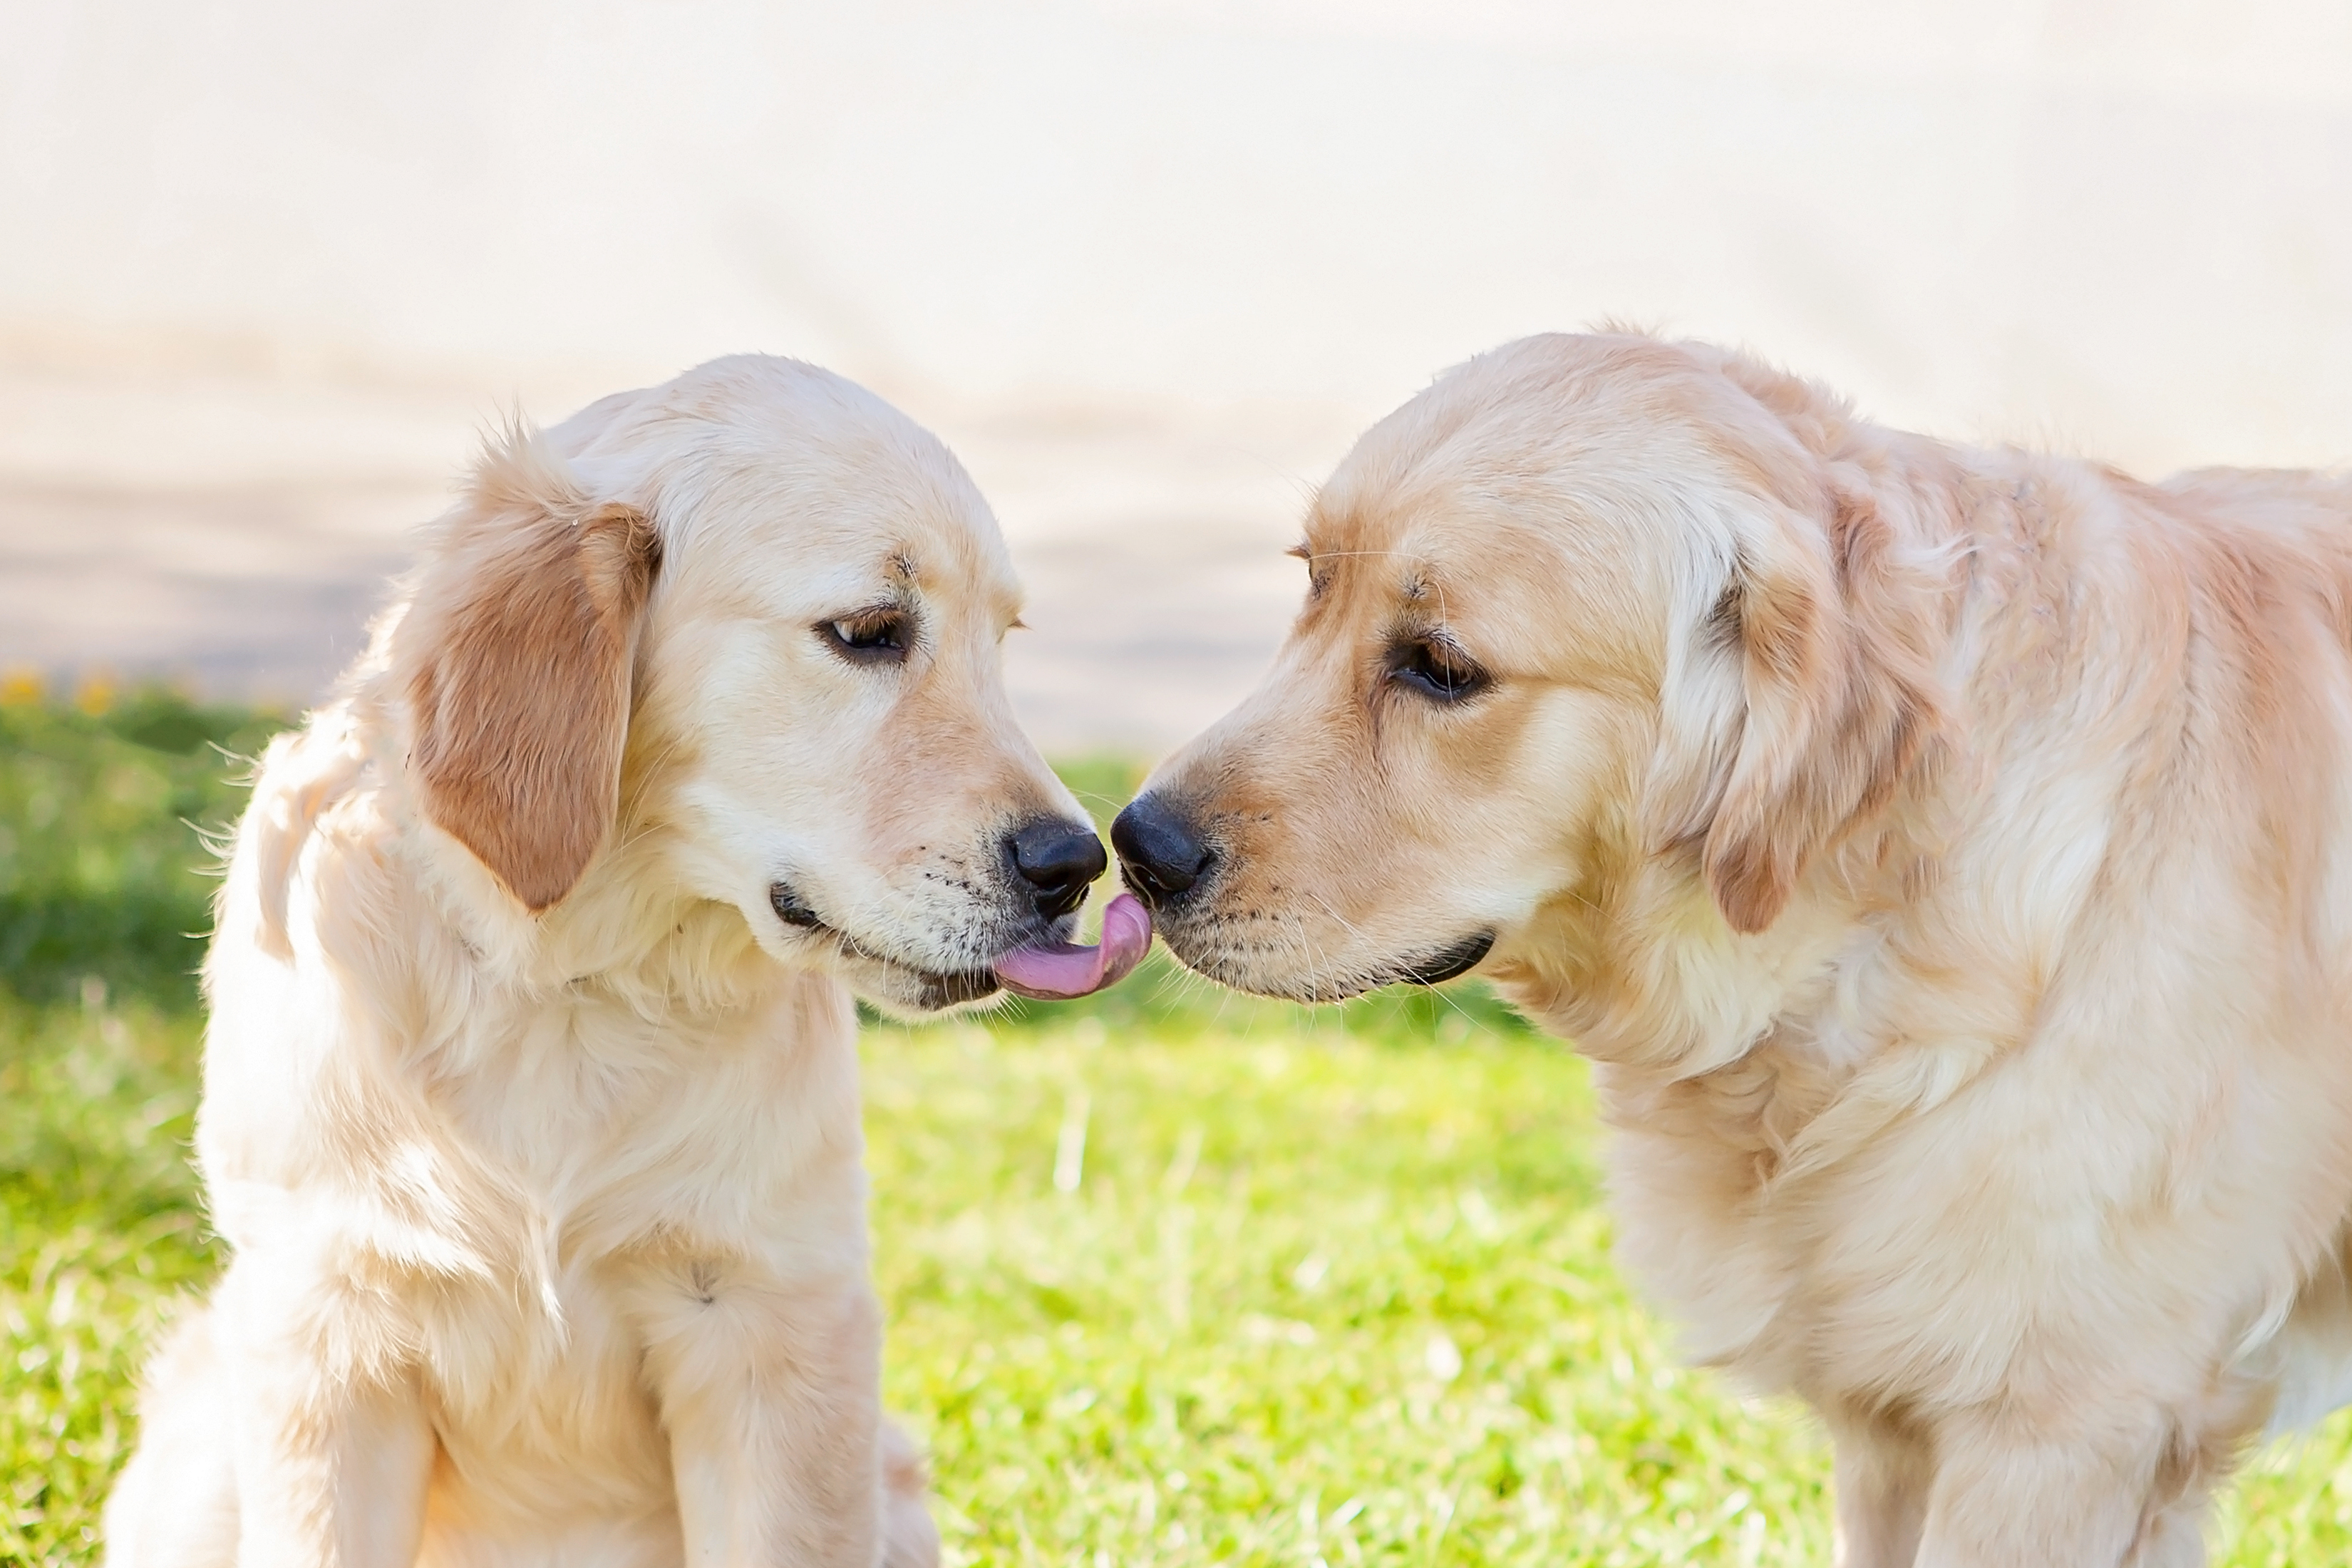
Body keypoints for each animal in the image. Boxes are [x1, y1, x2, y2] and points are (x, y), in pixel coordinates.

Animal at [103, 359, 1138, 1568]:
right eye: (871, 630)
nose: (1077, 866)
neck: (574, 986)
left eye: (1002, 639)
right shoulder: (327, 1336)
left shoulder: (775, 1329)